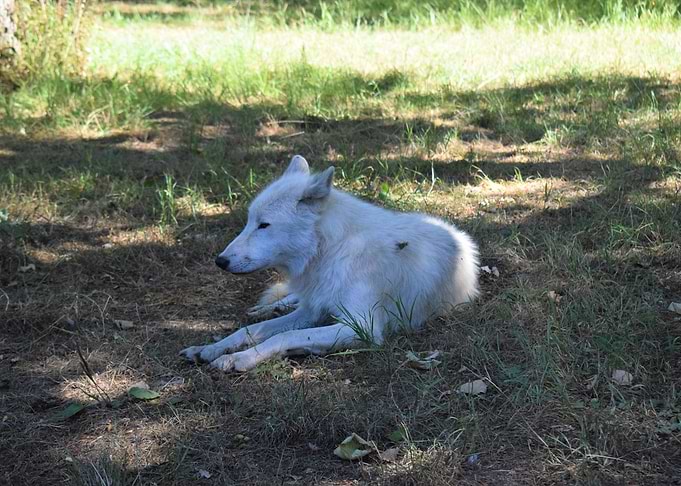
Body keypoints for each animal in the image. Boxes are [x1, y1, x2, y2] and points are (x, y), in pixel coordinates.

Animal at [180, 156, 479, 372]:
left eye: (264, 225)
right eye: (249, 221)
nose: (220, 261)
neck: (332, 251)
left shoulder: (361, 327)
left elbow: (283, 337)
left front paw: (240, 358)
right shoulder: (311, 312)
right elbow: (251, 329)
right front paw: (210, 348)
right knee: (284, 302)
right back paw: (266, 307)